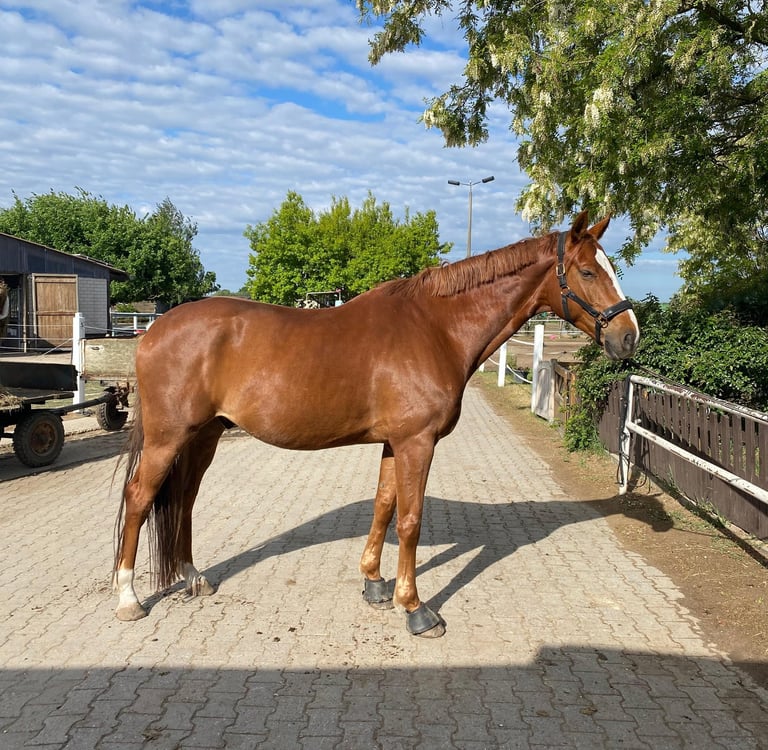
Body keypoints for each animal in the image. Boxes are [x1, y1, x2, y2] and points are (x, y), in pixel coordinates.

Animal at [113, 211, 639, 637]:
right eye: (588, 271)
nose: (628, 336)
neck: (435, 328)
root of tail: (153, 330)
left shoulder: (394, 443)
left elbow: (384, 507)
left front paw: (374, 583)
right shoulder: (417, 443)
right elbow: (409, 520)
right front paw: (415, 608)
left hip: (204, 436)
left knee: (183, 498)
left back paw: (192, 577)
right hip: (167, 438)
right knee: (140, 498)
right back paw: (128, 599)